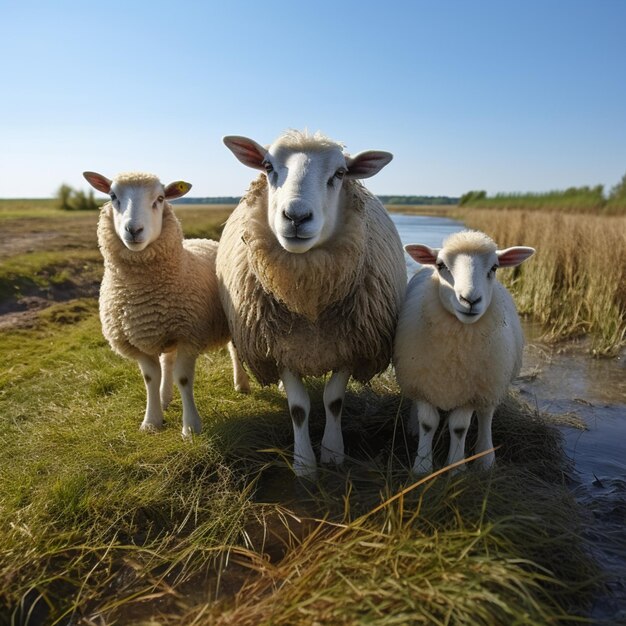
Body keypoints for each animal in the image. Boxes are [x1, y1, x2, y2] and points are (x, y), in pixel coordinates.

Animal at [83, 168, 249, 436]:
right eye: (112, 196)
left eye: (160, 199)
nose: (134, 230)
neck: (143, 296)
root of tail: (207, 239)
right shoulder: (139, 341)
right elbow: (151, 378)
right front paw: (151, 421)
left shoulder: (189, 335)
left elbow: (184, 378)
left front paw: (191, 427)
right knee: (167, 361)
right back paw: (164, 397)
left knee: (235, 350)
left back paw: (242, 384)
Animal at [217, 129, 408, 476]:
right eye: (268, 166)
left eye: (340, 173)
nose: (296, 217)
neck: (308, 304)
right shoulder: (278, 348)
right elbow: (298, 408)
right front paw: (304, 463)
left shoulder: (350, 344)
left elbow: (334, 401)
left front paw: (332, 452)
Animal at [390, 229, 532, 472]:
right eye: (441, 265)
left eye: (494, 268)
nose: (470, 300)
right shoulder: (422, 382)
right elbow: (428, 423)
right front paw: (422, 466)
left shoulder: (471, 392)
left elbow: (459, 427)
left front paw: (456, 467)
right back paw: (413, 428)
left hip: (491, 383)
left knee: (486, 415)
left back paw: (485, 457)